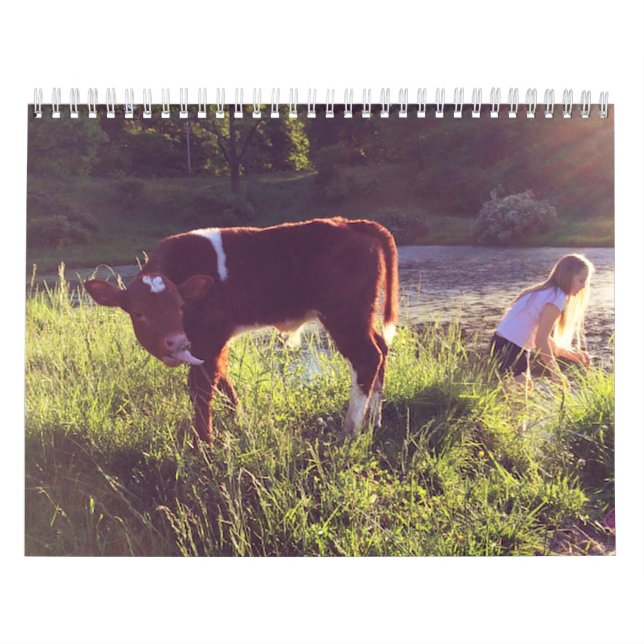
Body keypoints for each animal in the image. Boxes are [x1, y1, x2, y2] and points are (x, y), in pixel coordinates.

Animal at [84, 217, 399, 443]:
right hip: (361, 315)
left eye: (181, 306)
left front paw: (204, 444)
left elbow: (201, 389)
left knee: (367, 358)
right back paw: (373, 421)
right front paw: (240, 422)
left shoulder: (207, 339)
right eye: (138, 313)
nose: (176, 342)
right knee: (381, 349)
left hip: (345, 315)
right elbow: (224, 381)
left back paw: (351, 430)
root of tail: (350, 222)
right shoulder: (214, 342)